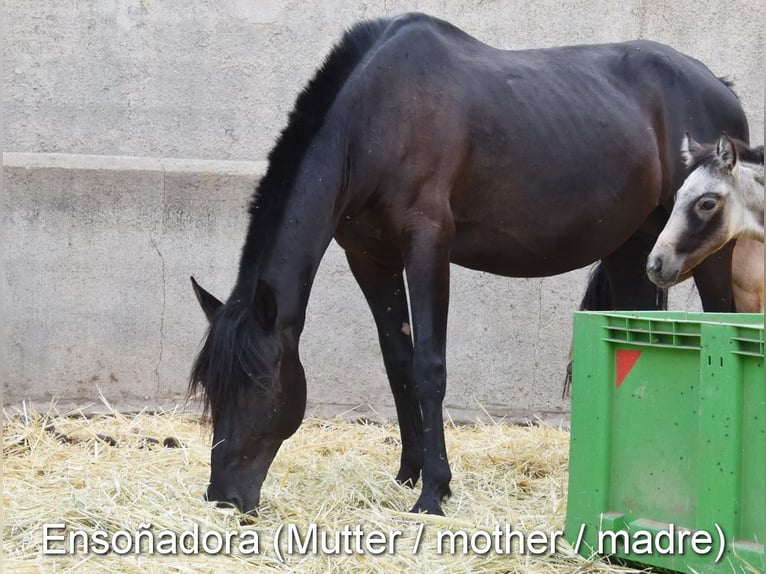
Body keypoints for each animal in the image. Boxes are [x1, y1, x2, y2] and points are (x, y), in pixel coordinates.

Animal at [190, 13, 752, 516]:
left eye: (262, 385)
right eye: (212, 388)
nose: (224, 497)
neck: (375, 118)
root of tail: (721, 89)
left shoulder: (428, 246)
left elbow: (429, 366)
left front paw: (434, 491)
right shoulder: (370, 258)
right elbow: (398, 362)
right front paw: (408, 472)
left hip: (709, 255)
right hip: (632, 247)